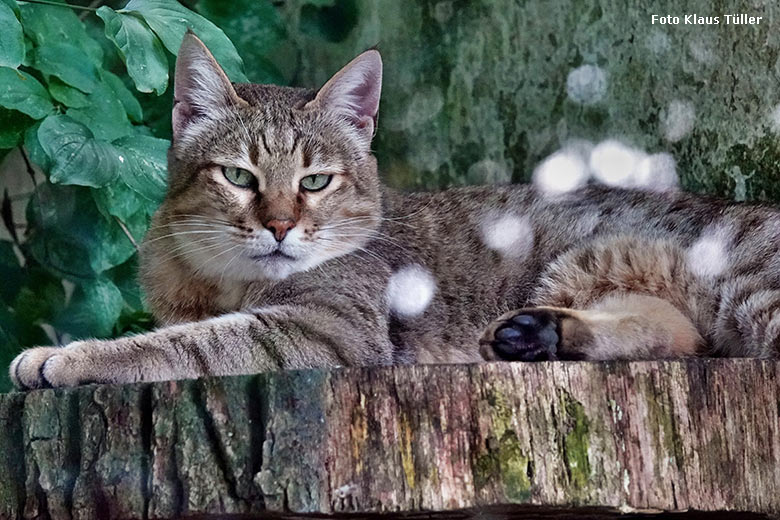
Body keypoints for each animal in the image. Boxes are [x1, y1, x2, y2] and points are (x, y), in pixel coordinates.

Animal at [9, 33, 780, 390]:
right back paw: (540, 334)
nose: (280, 226)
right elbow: (179, 333)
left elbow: (182, 346)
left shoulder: (324, 331)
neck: (221, 280)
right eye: (238, 176)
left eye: (316, 181)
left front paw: (71, 356)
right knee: (678, 335)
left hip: (747, 289)